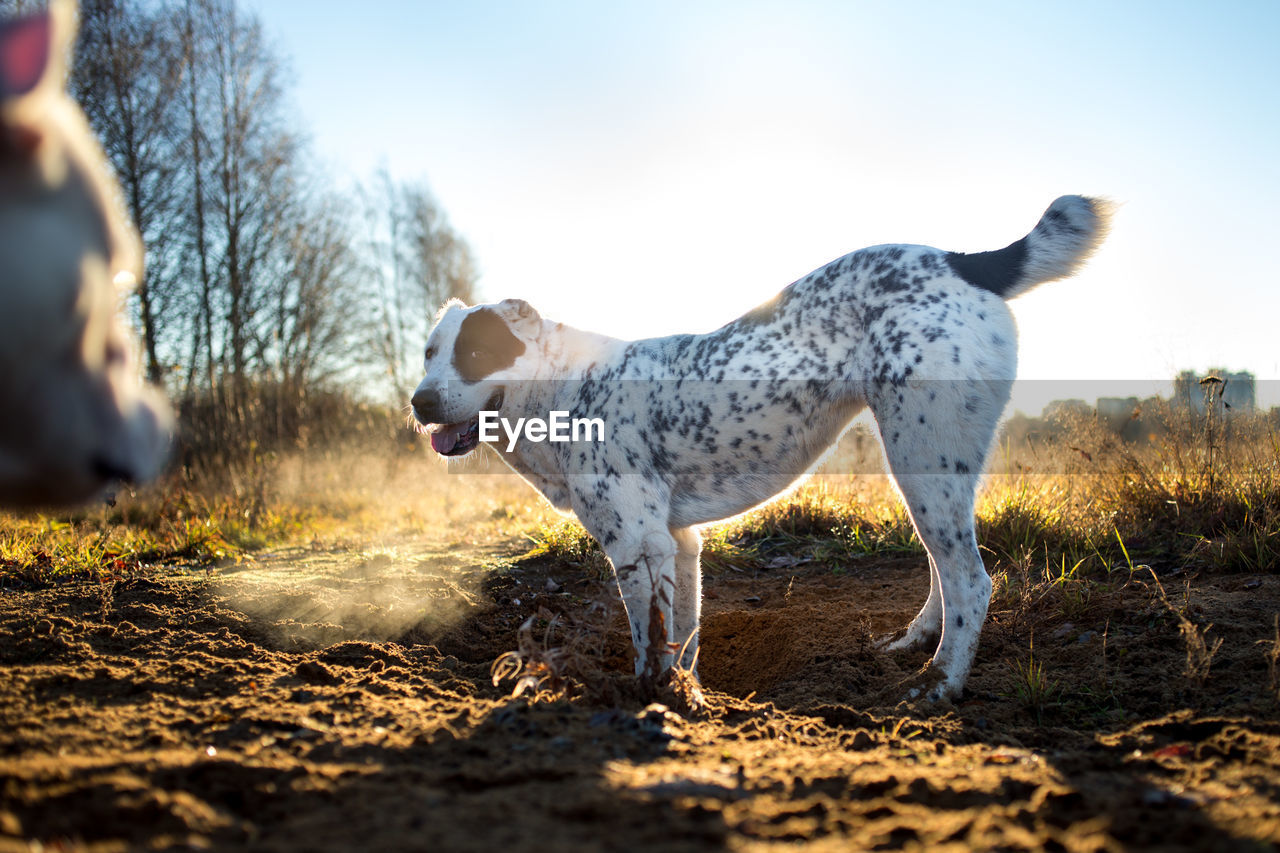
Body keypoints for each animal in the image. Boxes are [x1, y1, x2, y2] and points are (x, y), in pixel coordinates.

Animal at [412, 195, 1111, 701]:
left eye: (477, 352)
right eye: (427, 353)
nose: (418, 403)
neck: (567, 386)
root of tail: (963, 259)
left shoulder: (637, 545)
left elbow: (648, 644)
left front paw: (651, 701)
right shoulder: (679, 543)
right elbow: (683, 640)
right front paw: (689, 695)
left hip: (922, 457)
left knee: (971, 580)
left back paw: (938, 684)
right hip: (928, 470)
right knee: (948, 569)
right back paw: (916, 646)